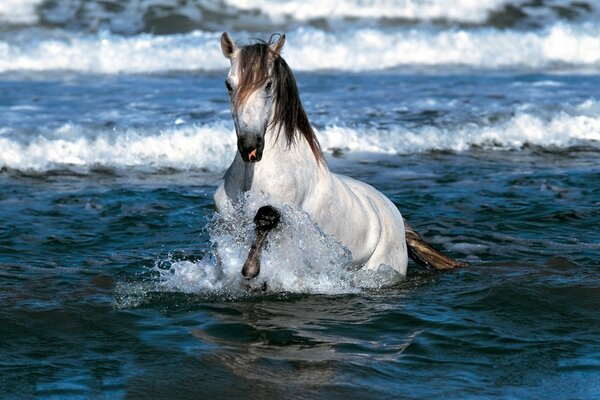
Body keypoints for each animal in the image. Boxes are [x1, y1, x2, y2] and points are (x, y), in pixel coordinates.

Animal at [214, 32, 464, 280]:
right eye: (228, 85)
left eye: (268, 84)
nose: (250, 146)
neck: (253, 177)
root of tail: (397, 217)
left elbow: (266, 219)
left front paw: (251, 270)